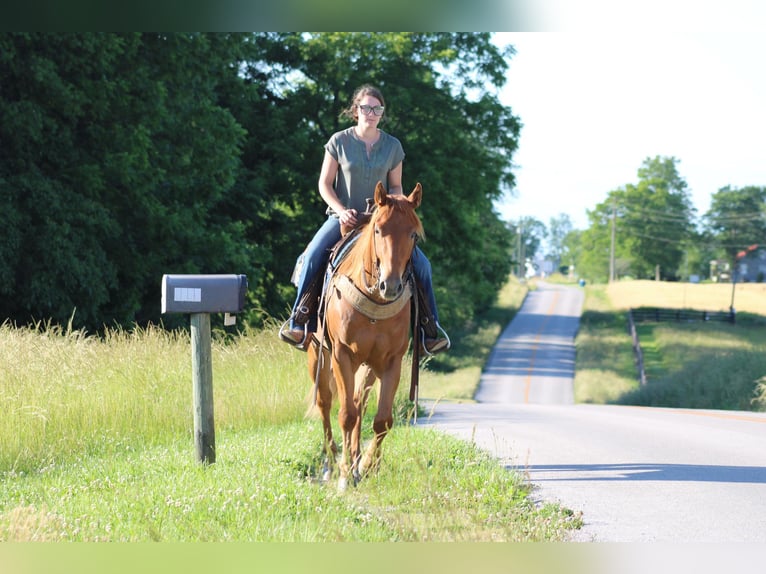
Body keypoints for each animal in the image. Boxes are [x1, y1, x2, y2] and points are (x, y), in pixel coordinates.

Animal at [307, 181, 424, 490]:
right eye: (378, 230)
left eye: (413, 234)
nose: (391, 286)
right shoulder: (341, 355)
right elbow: (346, 415)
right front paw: (345, 475)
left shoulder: (391, 361)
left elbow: (382, 420)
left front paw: (367, 464)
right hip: (317, 357)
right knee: (325, 403)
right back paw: (331, 463)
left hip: (369, 366)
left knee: (360, 402)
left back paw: (359, 461)